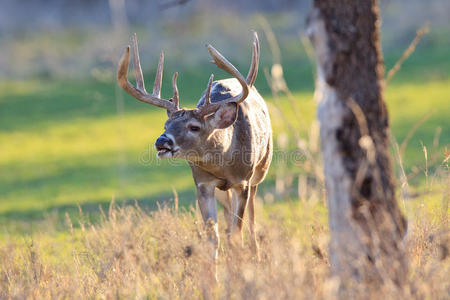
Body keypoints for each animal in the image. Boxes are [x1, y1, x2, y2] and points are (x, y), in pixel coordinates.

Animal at [116, 32, 272, 262]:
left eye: (194, 127)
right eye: (166, 125)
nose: (161, 142)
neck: (225, 163)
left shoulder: (242, 181)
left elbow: (238, 232)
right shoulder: (202, 183)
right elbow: (213, 238)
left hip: (259, 173)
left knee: (250, 220)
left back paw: (257, 255)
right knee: (228, 221)